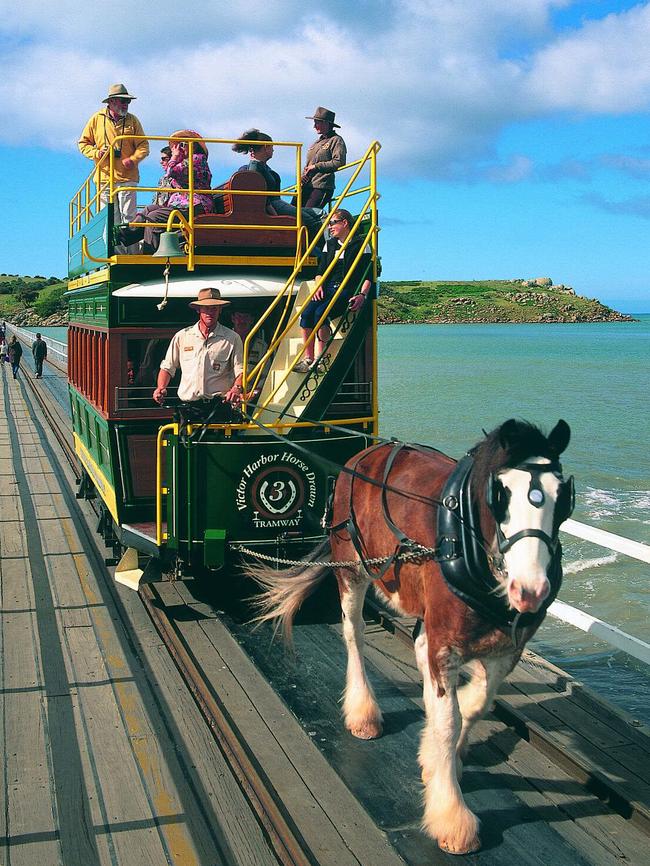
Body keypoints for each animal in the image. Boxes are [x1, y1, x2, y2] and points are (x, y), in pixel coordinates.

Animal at [248, 416, 572, 852]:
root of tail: (368, 452)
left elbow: (476, 704)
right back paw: (363, 711)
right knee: (354, 635)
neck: (467, 545)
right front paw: (451, 814)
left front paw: (438, 761)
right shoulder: (445, 643)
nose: (531, 590)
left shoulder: (504, 649)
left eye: (562, 495)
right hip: (351, 567)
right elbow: (449, 719)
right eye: (500, 495)